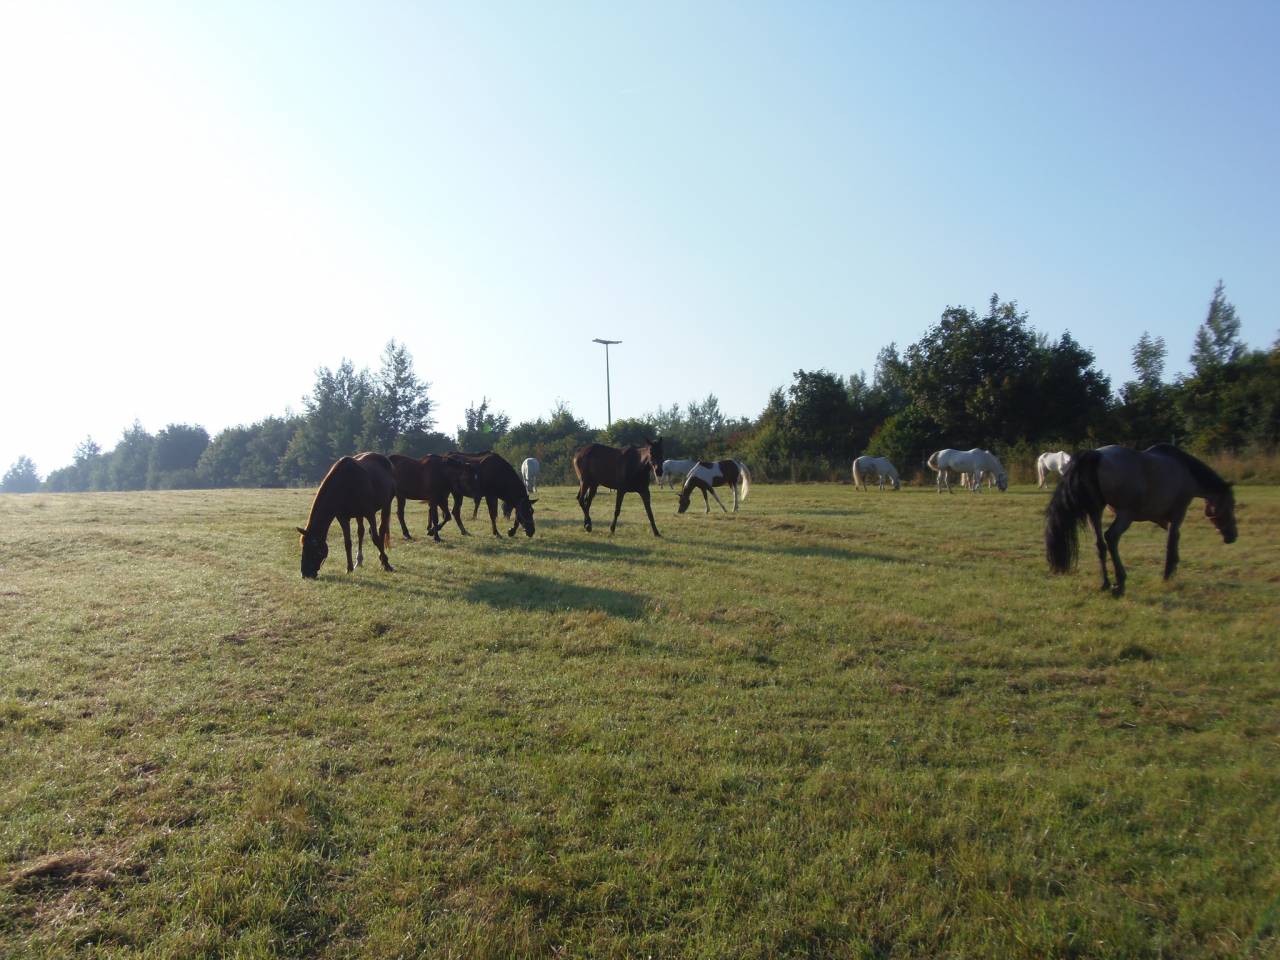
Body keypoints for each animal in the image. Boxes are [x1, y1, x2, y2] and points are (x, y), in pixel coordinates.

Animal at [1045, 444, 1237, 597]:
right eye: (1230, 505)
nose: (1232, 536)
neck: (1187, 472)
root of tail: (1095, 455)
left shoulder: (1164, 519)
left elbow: (1174, 539)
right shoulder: (1177, 514)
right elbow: (1172, 541)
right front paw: (1168, 574)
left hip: (1095, 511)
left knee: (1100, 544)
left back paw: (1106, 584)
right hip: (1125, 514)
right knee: (1111, 537)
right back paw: (1120, 583)